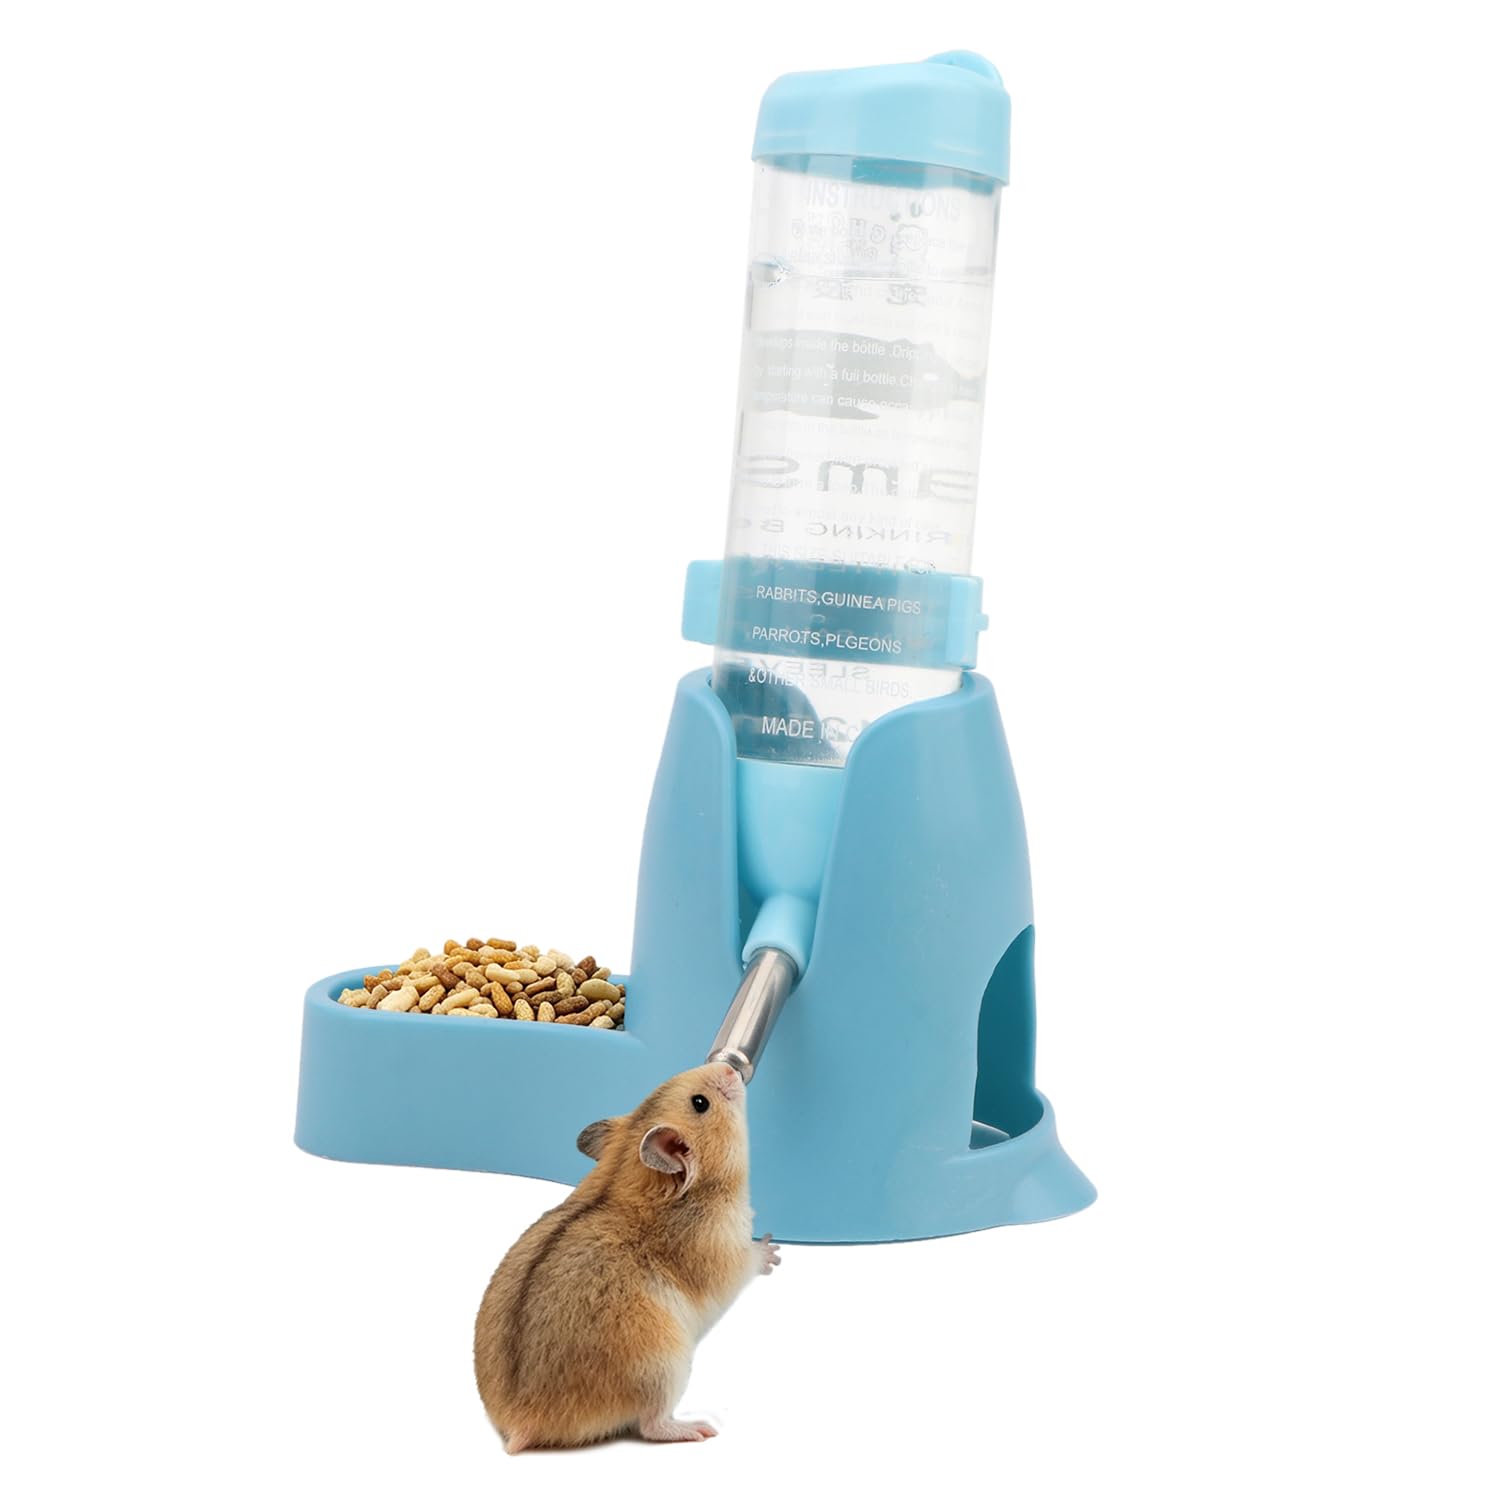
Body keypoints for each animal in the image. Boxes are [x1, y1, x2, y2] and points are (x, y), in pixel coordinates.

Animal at [473, 1061, 780, 1451]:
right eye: (700, 1103)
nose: (728, 1067)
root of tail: (521, 1422)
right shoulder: (726, 1252)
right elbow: (750, 1260)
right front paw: (772, 1250)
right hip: (664, 1369)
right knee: (652, 1425)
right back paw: (699, 1428)